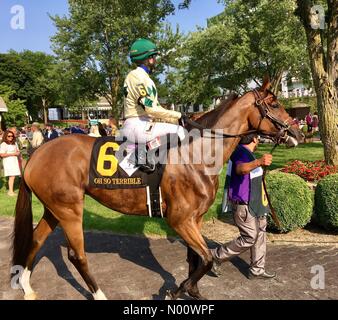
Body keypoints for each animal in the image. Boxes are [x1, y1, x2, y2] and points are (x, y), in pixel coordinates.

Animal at [12, 79, 304, 298]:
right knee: (76, 255)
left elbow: (195, 257)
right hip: (70, 210)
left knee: (36, 239)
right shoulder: (179, 219)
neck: (196, 155)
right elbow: (206, 258)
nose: (298, 134)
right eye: (275, 104)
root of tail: (37, 153)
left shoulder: (195, 218)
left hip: (54, 209)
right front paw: (177, 291)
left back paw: (26, 286)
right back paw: (99, 294)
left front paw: (192, 290)